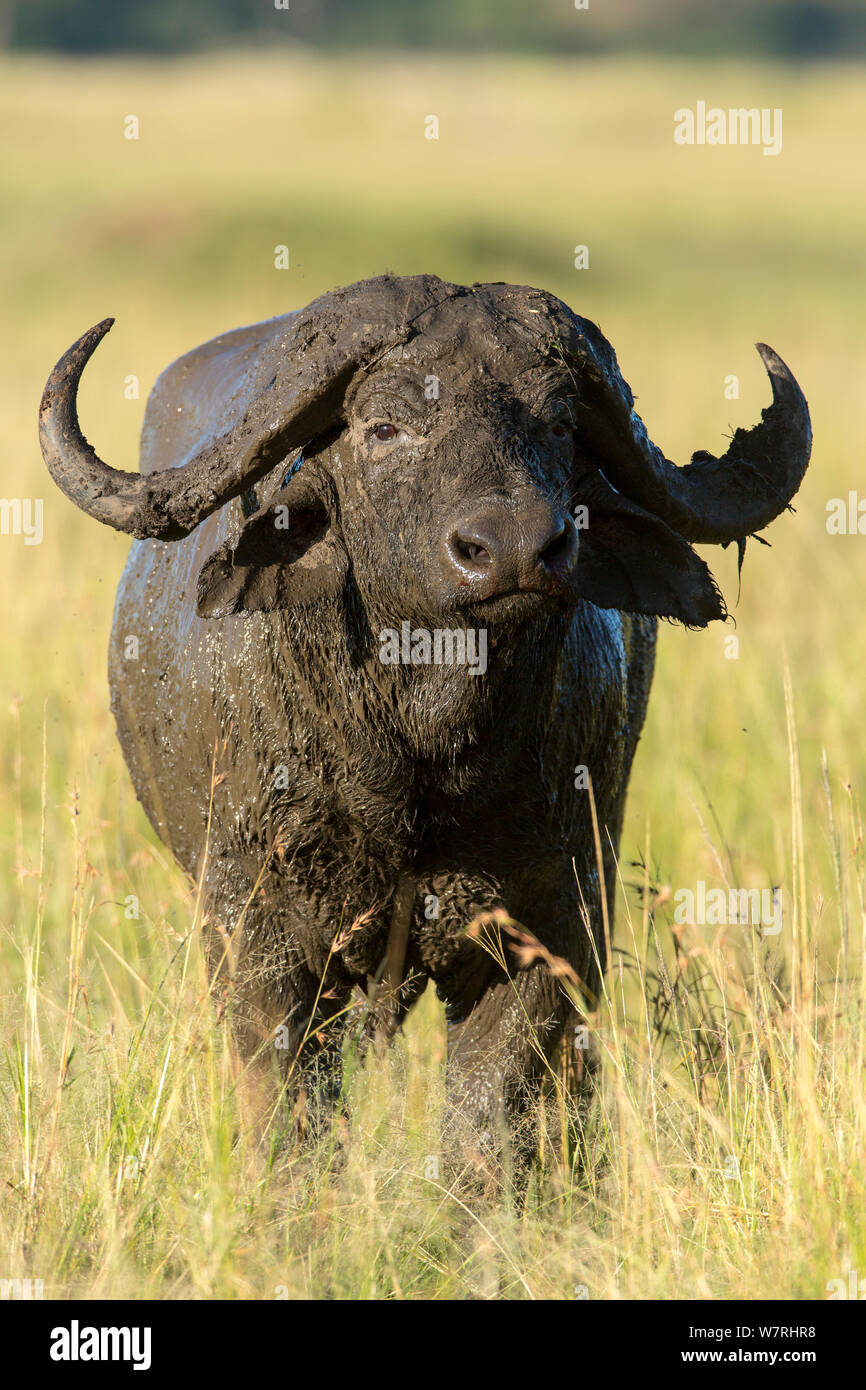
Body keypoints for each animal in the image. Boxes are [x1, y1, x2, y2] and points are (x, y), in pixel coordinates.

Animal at [38, 273, 811, 1184]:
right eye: (383, 427)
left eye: (559, 424)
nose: (513, 550)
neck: (415, 759)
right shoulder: (253, 929)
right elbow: (291, 1108)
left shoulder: (556, 924)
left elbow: (488, 1118)